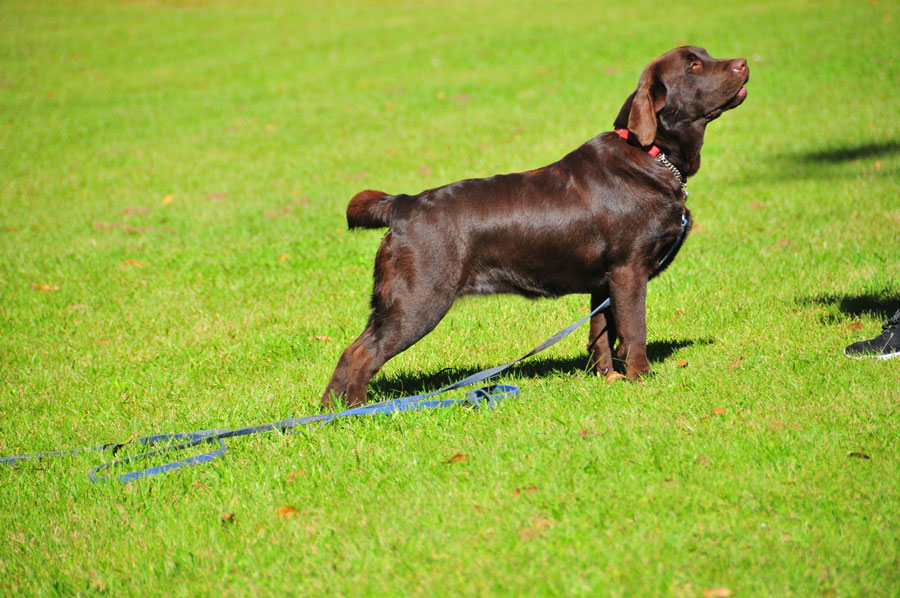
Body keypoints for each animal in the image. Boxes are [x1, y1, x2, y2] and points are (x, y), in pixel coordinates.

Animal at [322, 47, 744, 408]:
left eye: (707, 55)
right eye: (694, 66)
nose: (743, 63)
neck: (651, 156)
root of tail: (402, 204)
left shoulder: (605, 281)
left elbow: (601, 333)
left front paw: (607, 377)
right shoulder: (629, 271)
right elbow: (634, 329)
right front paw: (641, 377)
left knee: (352, 350)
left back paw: (333, 411)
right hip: (418, 299)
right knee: (360, 352)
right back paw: (356, 409)